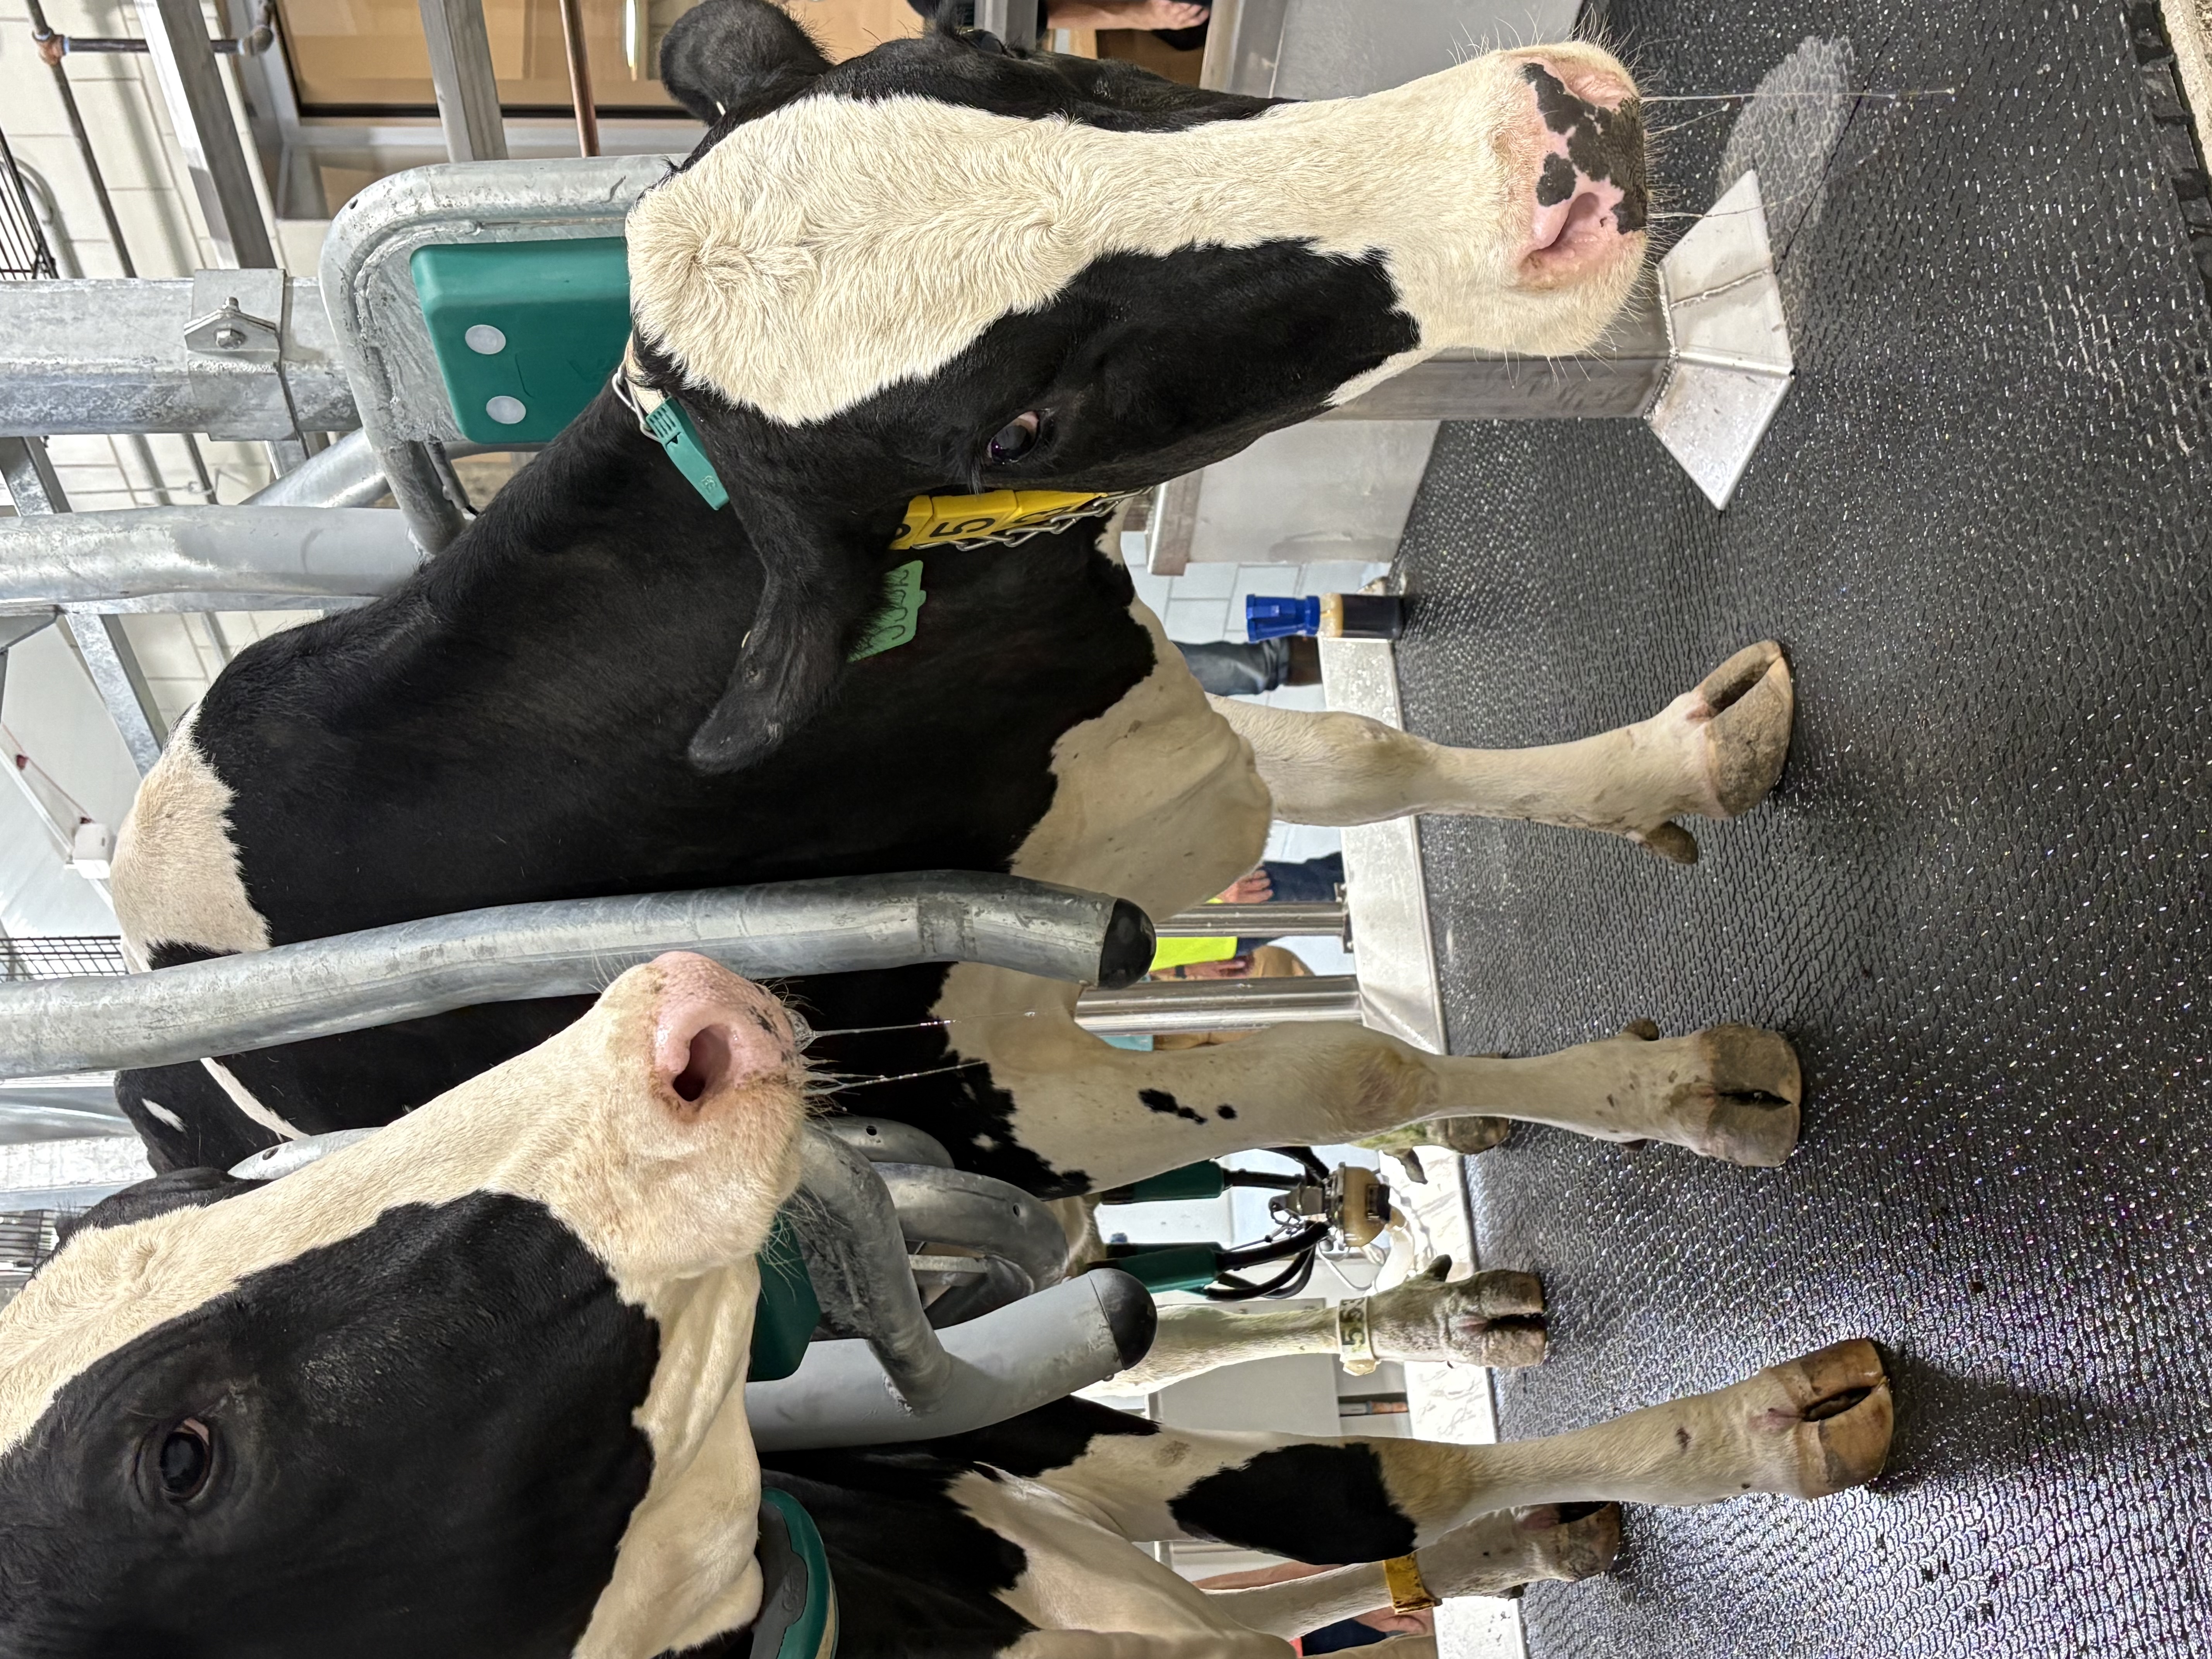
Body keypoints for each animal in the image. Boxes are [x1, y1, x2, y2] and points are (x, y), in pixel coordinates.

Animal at [106, 1, 1799, 1384]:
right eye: (1017, 425)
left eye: (1006, 61)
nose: (1552, 136)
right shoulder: (996, 1109)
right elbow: (1346, 1052)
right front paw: (1680, 1087)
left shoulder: (1133, 720)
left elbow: (1365, 749)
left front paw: (1677, 767)